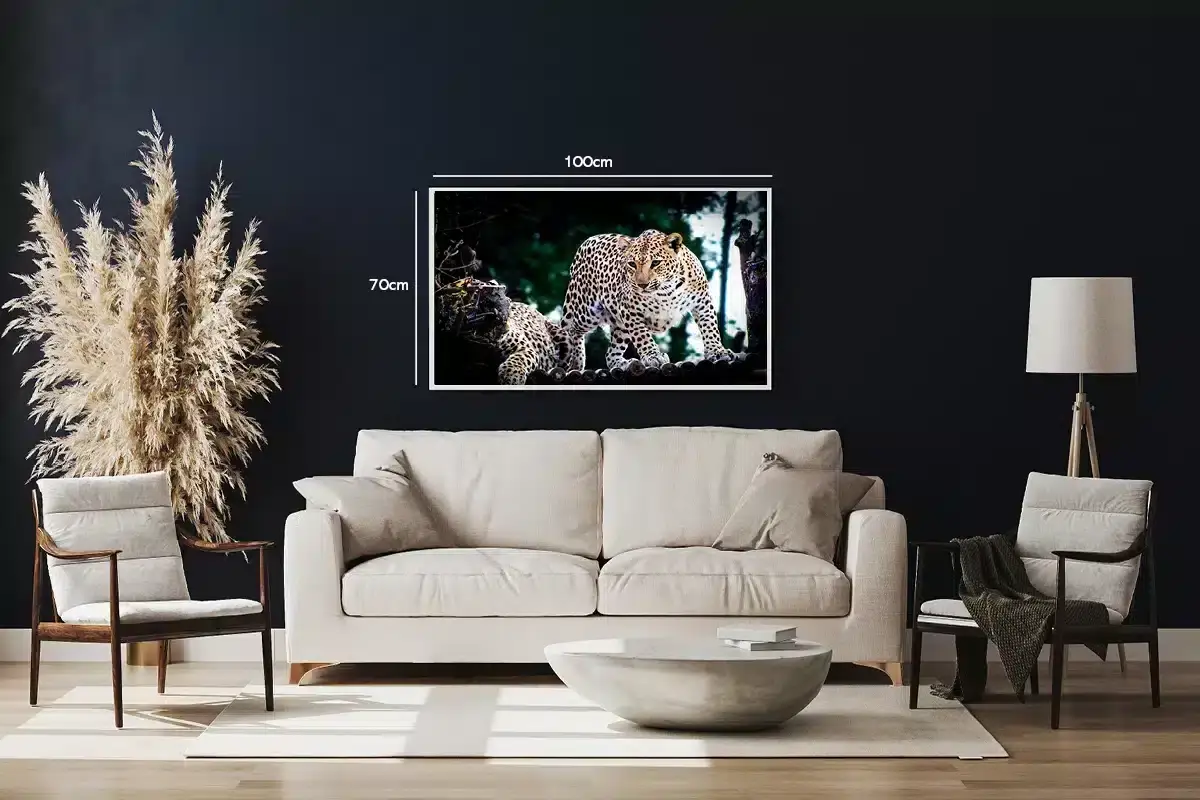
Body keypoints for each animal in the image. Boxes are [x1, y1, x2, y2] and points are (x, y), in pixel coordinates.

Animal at [559, 229, 733, 371]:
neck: (666, 290)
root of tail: (586, 242)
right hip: (587, 311)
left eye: (655, 263)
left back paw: (622, 363)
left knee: (610, 354)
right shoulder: (629, 310)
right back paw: (576, 361)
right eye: (631, 264)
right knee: (570, 329)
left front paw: (717, 351)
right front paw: (653, 356)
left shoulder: (702, 301)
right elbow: (642, 335)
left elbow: (710, 327)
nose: (642, 284)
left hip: (619, 326)